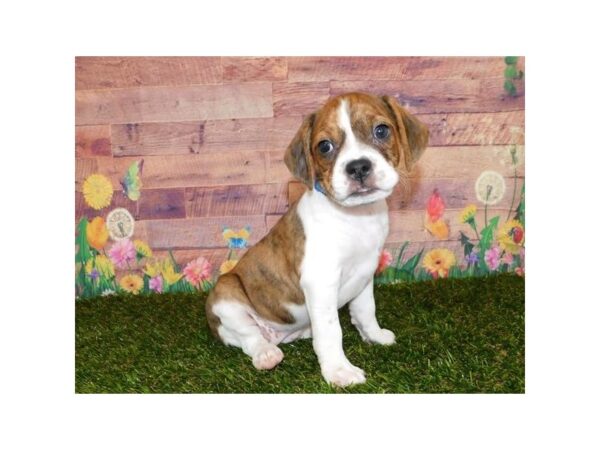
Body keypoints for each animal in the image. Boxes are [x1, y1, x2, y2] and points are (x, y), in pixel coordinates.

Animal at [206, 92, 426, 386]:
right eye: (324, 146)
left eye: (381, 130)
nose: (358, 167)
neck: (357, 217)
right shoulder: (321, 282)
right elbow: (332, 332)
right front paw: (339, 371)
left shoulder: (366, 274)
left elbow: (365, 311)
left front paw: (374, 336)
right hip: (226, 297)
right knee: (249, 337)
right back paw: (266, 354)